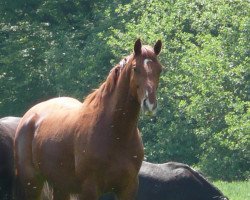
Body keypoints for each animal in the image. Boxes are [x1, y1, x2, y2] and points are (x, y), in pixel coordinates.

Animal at [14, 38, 163, 198]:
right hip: (32, 183)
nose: (150, 104)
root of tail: (29, 117)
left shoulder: (128, 188)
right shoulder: (89, 188)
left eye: (160, 69)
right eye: (135, 68)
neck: (115, 133)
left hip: (61, 186)